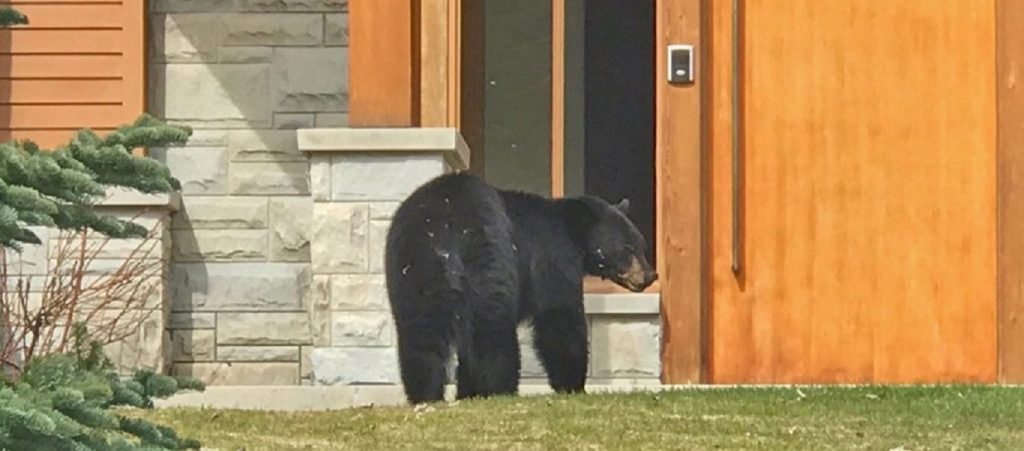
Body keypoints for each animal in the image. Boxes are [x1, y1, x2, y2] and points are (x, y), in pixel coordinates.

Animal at [385, 171, 655, 403]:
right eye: (627, 247)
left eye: (642, 245)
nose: (650, 275)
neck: (575, 236)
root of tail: (444, 229)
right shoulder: (552, 253)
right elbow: (559, 315)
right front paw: (573, 385)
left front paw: (466, 393)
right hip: (489, 258)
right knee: (491, 331)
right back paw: (499, 388)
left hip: (413, 271)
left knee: (421, 335)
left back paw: (426, 394)